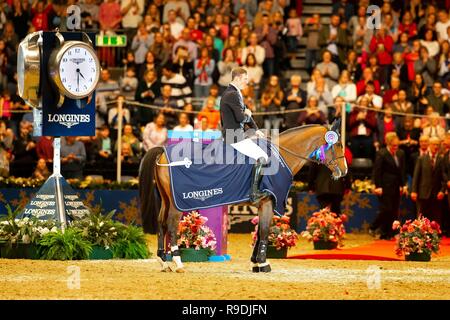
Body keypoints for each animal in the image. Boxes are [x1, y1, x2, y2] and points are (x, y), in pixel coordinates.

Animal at [138, 122, 348, 272]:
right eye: (337, 144)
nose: (344, 171)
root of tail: (162, 151)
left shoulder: (262, 204)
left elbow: (259, 232)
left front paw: (255, 262)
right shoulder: (268, 202)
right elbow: (265, 231)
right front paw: (263, 264)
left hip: (166, 199)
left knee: (160, 223)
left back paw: (164, 262)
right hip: (177, 204)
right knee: (172, 225)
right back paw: (178, 262)